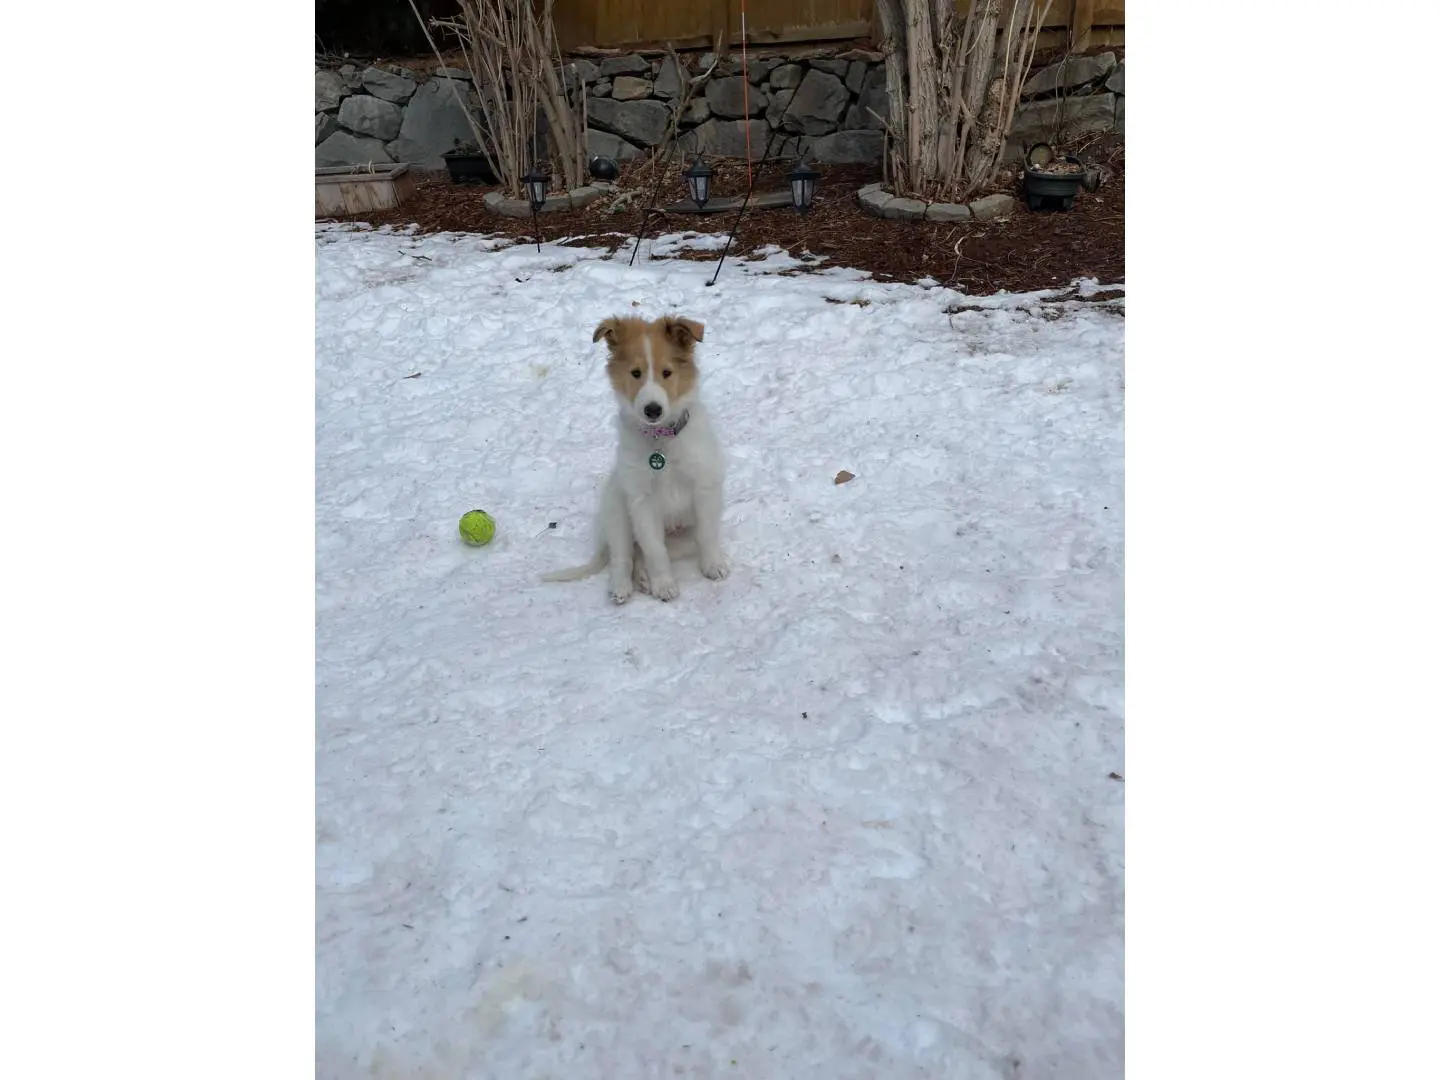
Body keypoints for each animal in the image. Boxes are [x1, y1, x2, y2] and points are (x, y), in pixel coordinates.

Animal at [541, 312, 725, 604]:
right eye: (635, 373)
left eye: (666, 373)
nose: (652, 410)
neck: (660, 440)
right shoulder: (641, 501)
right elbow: (655, 551)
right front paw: (664, 585)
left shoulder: (704, 488)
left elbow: (706, 534)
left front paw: (712, 566)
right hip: (617, 511)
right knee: (624, 555)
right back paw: (623, 587)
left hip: (682, 538)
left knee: (641, 554)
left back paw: (643, 579)